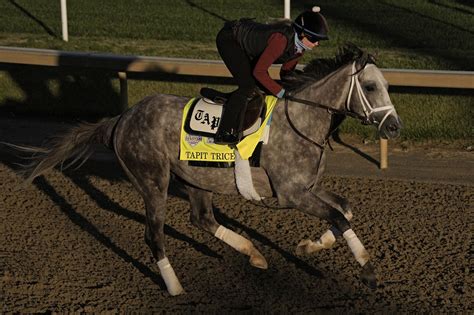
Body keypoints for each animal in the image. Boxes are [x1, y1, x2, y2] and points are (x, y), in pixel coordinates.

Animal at [10, 43, 400, 296]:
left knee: (201, 219)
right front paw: (368, 272)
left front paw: (310, 246)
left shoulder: (308, 188)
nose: (394, 126)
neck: (301, 120)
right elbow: (339, 217)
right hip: (153, 181)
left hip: (195, 177)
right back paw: (175, 287)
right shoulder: (291, 194)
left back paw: (254, 254)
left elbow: (344, 210)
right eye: (369, 86)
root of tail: (121, 119)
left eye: (386, 85)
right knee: (154, 235)